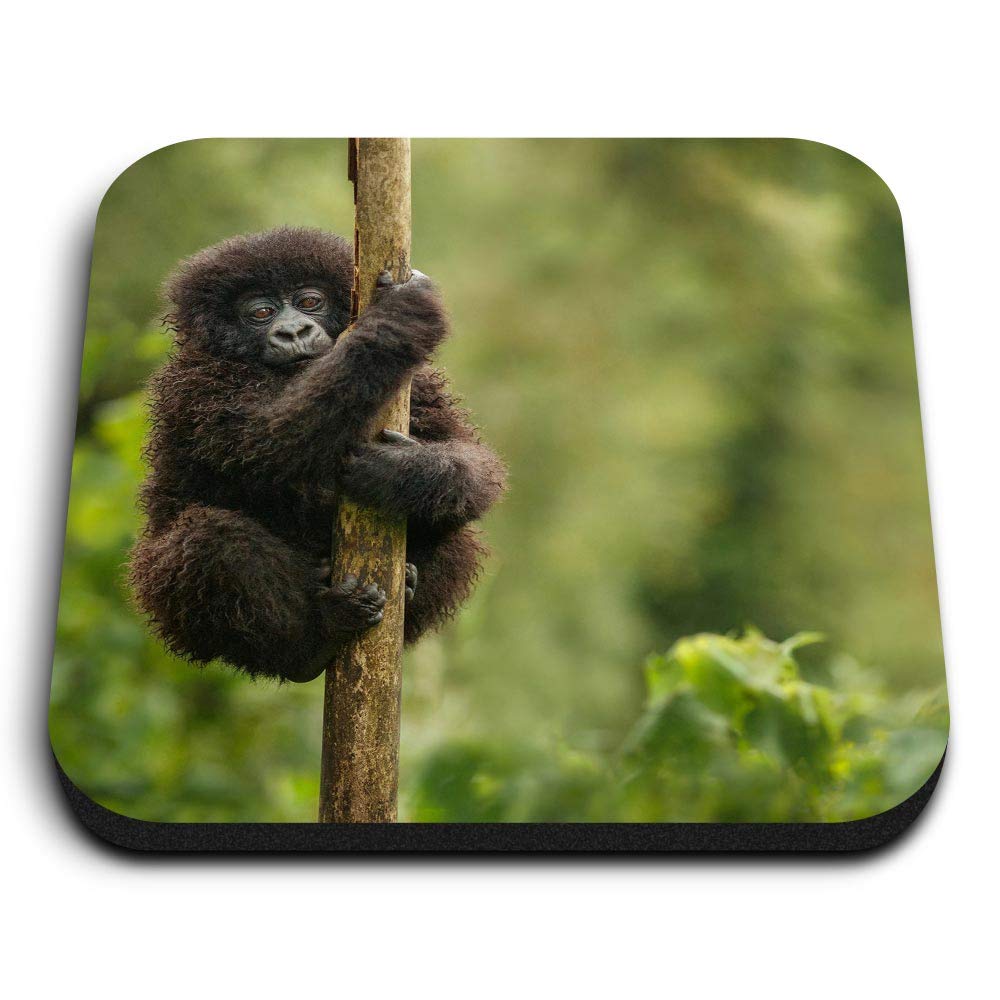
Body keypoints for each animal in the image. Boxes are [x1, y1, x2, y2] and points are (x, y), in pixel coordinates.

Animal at [128, 227, 506, 682]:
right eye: (261, 312)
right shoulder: (194, 386)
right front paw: (396, 319)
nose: (292, 331)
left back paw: (409, 583)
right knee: (206, 540)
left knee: (457, 528)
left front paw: (401, 473)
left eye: (310, 302)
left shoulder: (421, 385)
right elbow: (271, 440)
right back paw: (313, 641)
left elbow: (474, 464)